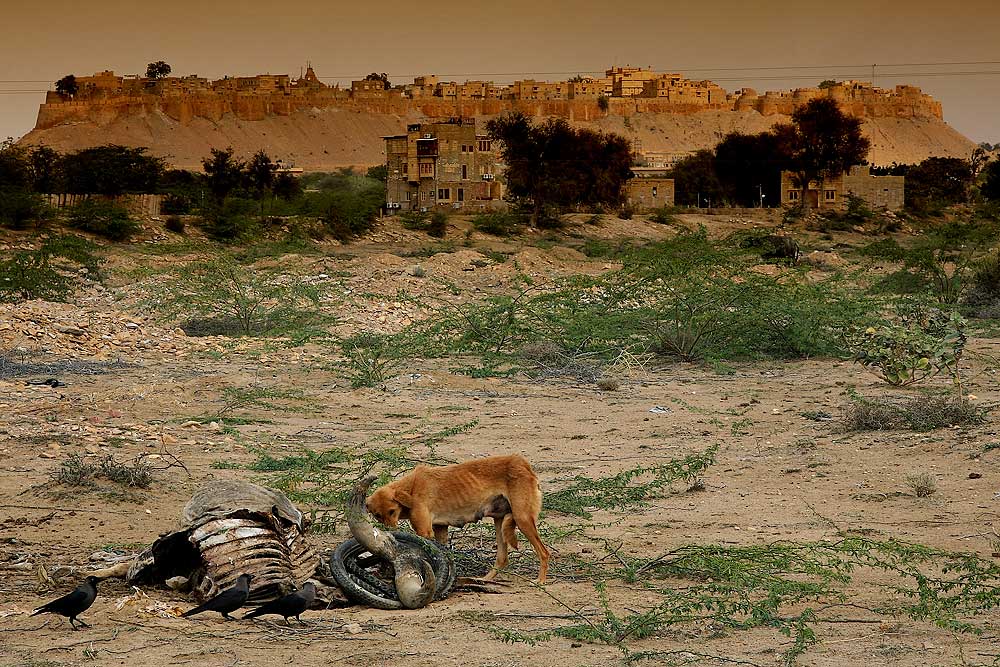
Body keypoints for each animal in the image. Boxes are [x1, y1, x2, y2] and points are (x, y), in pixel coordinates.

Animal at [368, 454, 552, 584]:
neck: (411, 488)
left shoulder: (424, 532)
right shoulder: (440, 529)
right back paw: (484, 580)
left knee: (544, 552)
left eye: (392, 512)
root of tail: (524, 464)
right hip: (499, 522)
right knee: (502, 559)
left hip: (522, 519)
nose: (390, 532)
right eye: (378, 515)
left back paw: (541, 580)